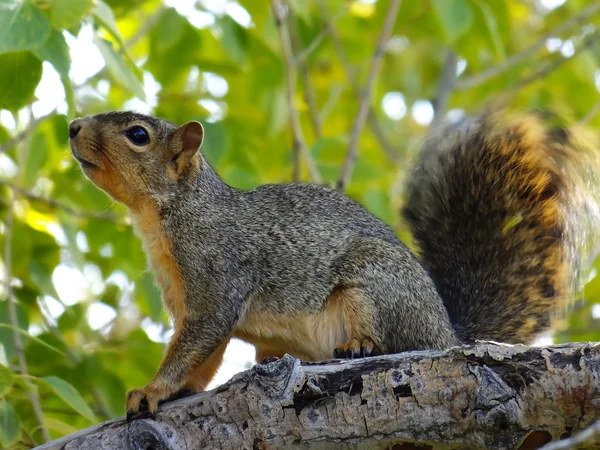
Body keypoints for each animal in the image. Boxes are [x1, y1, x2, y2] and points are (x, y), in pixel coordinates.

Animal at [69, 110, 596, 420]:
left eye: (138, 135)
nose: (73, 126)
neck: (171, 214)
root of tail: (446, 333)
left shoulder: (217, 277)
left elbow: (195, 343)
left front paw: (153, 389)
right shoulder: (186, 301)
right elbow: (204, 356)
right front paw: (177, 389)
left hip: (375, 283)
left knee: (392, 337)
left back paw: (360, 344)